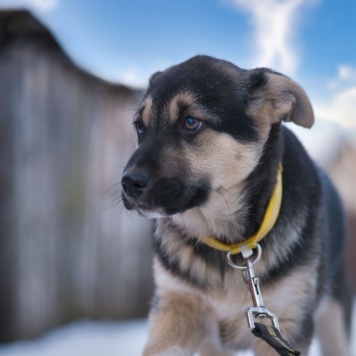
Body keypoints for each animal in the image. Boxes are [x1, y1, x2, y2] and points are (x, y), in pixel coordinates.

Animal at [121, 55, 352, 356]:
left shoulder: (288, 320)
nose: (128, 183)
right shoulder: (176, 305)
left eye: (191, 122)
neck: (231, 243)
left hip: (335, 315)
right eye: (140, 127)